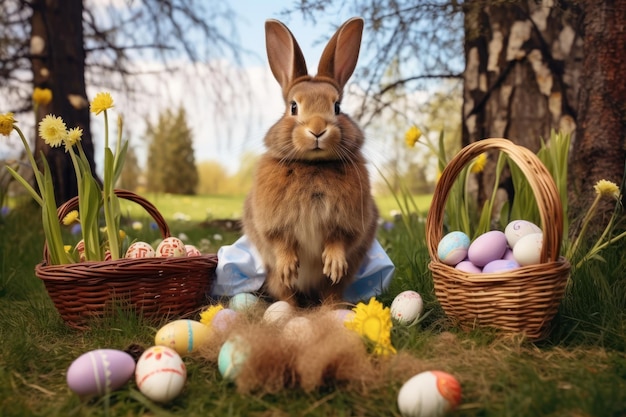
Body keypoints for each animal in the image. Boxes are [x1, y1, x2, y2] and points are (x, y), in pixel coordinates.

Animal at [241, 17, 378, 306]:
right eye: (293, 107)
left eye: (337, 107)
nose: (317, 129)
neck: (314, 166)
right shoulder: (272, 223)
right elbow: (281, 242)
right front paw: (288, 266)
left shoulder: (348, 223)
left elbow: (338, 240)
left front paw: (334, 264)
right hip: (273, 279)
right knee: (286, 292)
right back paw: (290, 308)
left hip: (339, 282)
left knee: (331, 292)